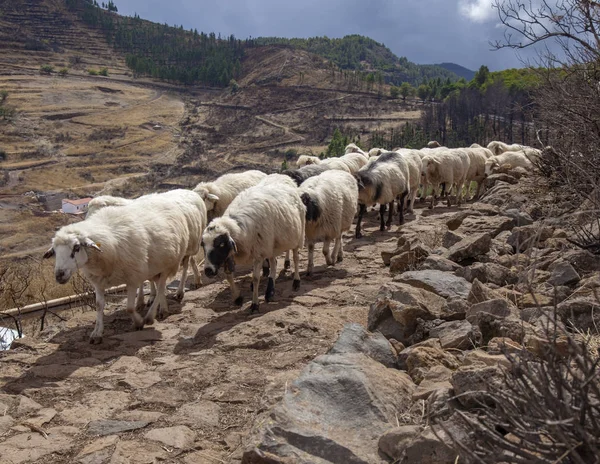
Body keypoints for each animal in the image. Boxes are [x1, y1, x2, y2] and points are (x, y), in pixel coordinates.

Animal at [43, 188, 207, 344]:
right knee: (159, 285)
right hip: (156, 264)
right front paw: (97, 333)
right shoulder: (99, 281)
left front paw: (139, 321)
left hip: (172, 260)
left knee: (168, 281)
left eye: (76, 247)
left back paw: (155, 312)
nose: (59, 275)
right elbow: (99, 305)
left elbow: (129, 308)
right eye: (55, 251)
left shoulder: (133, 276)